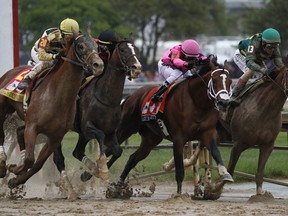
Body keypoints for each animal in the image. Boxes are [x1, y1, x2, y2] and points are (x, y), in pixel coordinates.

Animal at [0, 31, 103, 191]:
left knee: (19, 132)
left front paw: (15, 180)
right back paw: (2, 163)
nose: (98, 65)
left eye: (97, 47)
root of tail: (9, 72)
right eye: (81, 46)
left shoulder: (55, 137)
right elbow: (29, 159)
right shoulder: (33, 127)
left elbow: (37, 164)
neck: (57, 96)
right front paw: (14, 168)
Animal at [113, 60, 233, 194]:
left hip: (151, 139)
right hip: (127, 127)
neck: (197, 102)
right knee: (113, 146)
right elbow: (179, 169)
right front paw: (178, 195)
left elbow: (216, 153)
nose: (224, 102)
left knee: (133, 158)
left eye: (230, 81)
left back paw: (118, 184)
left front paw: (225, 174)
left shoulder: (208, 133)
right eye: (214, 80)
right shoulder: (178, 138)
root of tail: (131, 96)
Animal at [219, 56, 288, 197]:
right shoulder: (238, 144)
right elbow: (230, 169)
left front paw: (260, 193)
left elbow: (260, 173)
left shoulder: (268, 145)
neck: (264, 109)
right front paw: (213, 191)